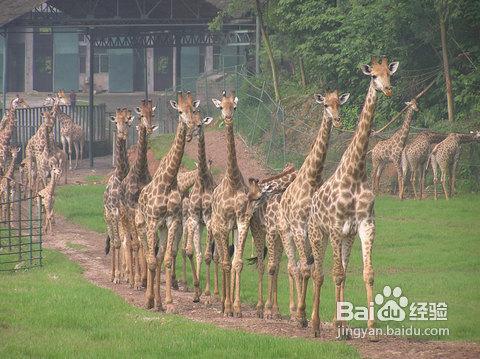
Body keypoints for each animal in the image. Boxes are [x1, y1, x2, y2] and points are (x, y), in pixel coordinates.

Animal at [135, 92, 202, 312]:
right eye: (179, 111)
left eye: (193, 109)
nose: (191, 125)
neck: (169, 180)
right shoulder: (153, 221)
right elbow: (151, 261)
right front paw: (149, 301)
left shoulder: (172, 221)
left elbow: (165, 260)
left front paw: (169, 303)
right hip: (143, 226)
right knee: (147, 254)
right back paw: (149, 297)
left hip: (162, 228)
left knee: (158, 256)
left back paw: (158, 302)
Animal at [276, 90, 350, 326]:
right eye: (325, 104)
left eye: (339, 104)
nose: (338, 120)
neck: (312, 178)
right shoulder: (300, 228)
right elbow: (302, 269)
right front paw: (300, 315)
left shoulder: (316, 230)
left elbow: (313, 269)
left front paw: (307, 315)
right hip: (286, 232)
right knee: (293, 267)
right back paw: (293, 312)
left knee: (302, 266)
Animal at [306, 56, 400, 338]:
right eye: (373, 76)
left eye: (389, 74)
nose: (387, 89)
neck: (356, 172)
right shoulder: (336, 225)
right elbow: (334, 273)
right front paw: (335, 327)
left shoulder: (366, 224)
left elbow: (367, 273)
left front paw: (370, 328)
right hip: (318, 233)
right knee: (319, 272)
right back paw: (315, 325)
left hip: (345, 237)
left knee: (342, 271)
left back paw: (343, 325)